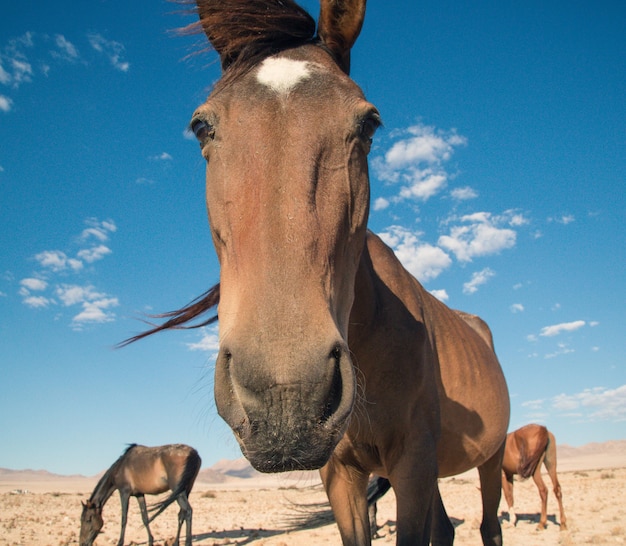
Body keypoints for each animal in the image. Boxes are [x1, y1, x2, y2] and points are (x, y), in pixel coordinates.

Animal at [125, 2, 508, 540]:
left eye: (370, 124)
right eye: (201, 126)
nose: (287, 398)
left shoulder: (412, 463)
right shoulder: (341, 473)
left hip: (490, 459)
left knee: (489, 526)